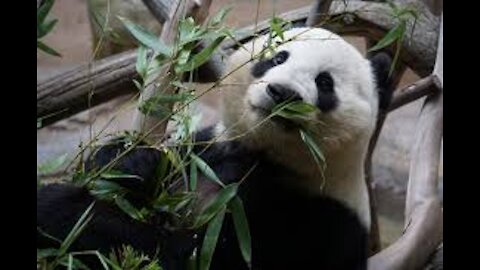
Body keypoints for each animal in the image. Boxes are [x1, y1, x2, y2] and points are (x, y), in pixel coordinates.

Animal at [36, 26, 390, 270]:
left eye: (325, 83)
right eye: (278, 57)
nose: (282, 92)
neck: (265, 155)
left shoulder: (315, 220)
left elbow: (187, 254)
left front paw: (59, 208)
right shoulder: (206, 150)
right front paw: (132, 163)